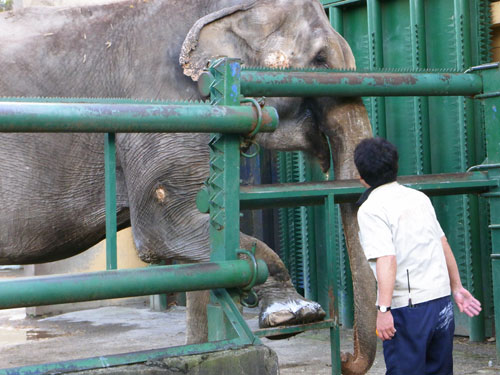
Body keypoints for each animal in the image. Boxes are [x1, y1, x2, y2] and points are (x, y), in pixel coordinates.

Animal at [0, 1, 376, 374]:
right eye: (320, 60)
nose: (345, 358)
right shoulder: (161, 110)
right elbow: (165, 231)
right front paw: (294, 314)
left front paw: (204, 351)